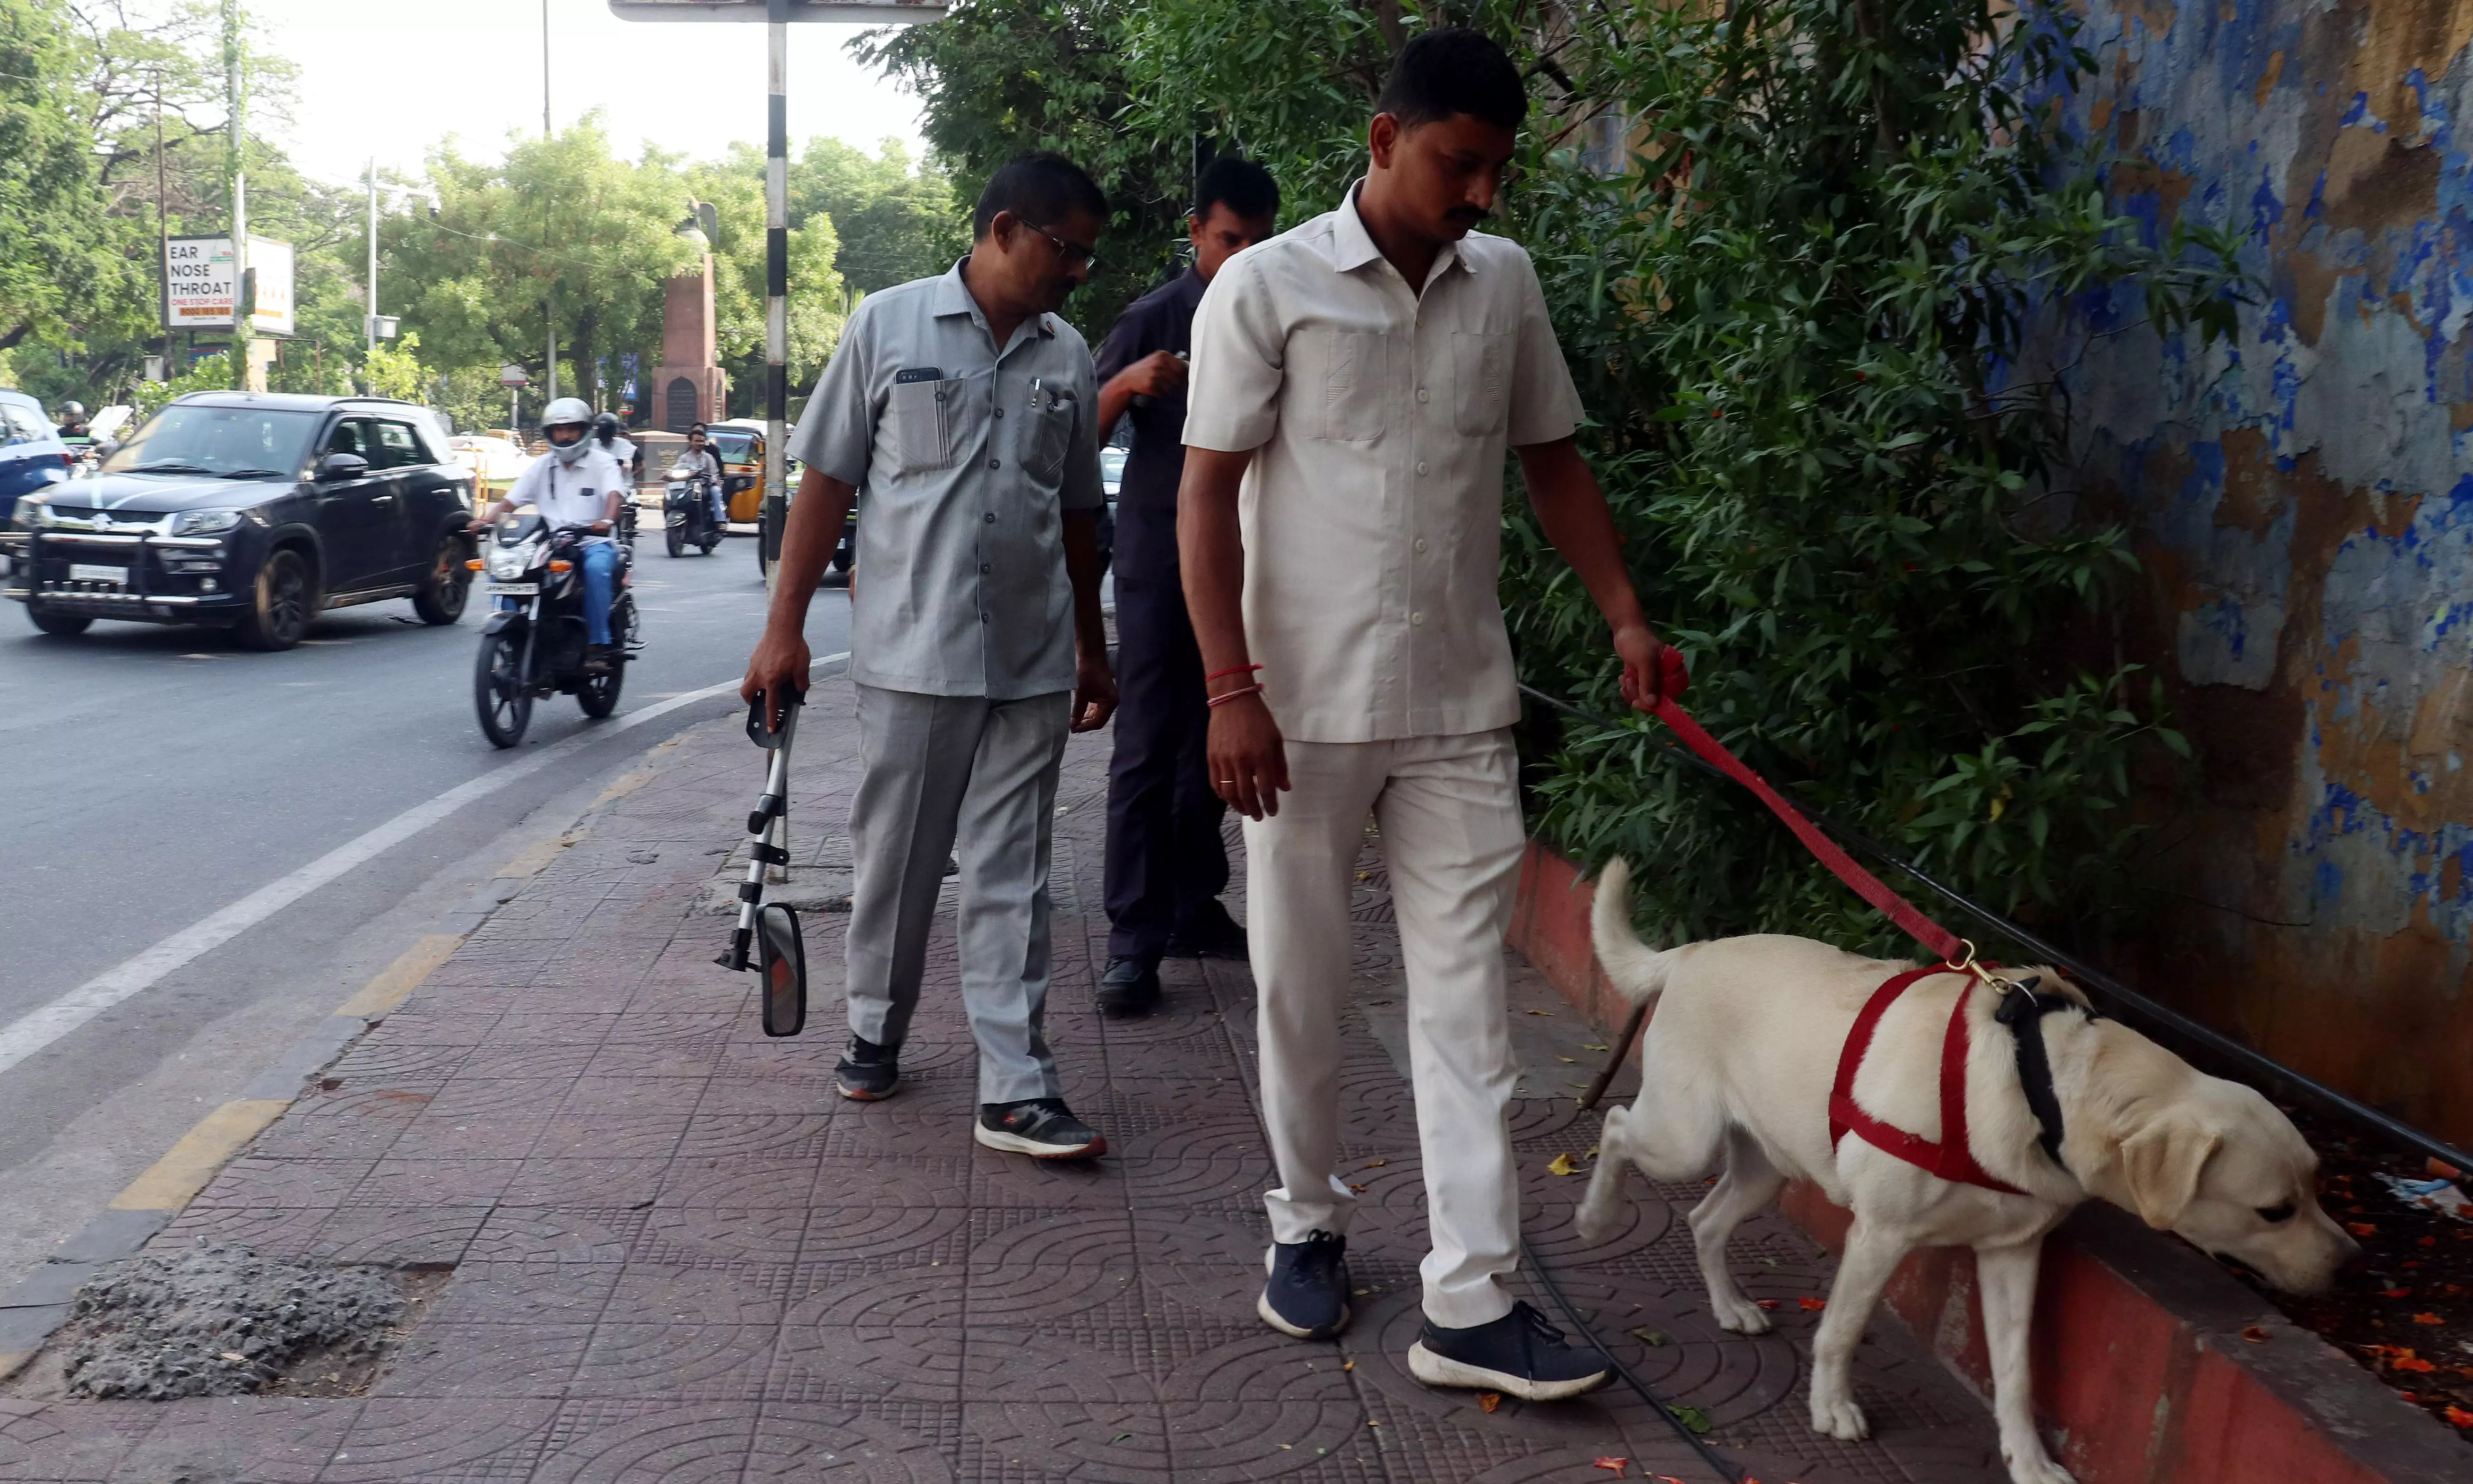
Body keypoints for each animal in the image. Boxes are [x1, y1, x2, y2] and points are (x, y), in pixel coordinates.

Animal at [1573, 855, 2344, 1484]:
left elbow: (2016, 1372)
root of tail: (1691, 950)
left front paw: (2027, 1460)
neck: (2042, 1087)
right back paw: (1595, 1215)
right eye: (2276, 1209)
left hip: (1765, 1164)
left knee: (1706, 1218)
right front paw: (1831, 1408)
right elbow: (1842, 1329)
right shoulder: (1879, 1234)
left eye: (2316, 1187)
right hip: (1684, 1137)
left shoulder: (2013, 1254)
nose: (2351, 1261)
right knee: (1616, 1128)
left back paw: (1730, 1305)